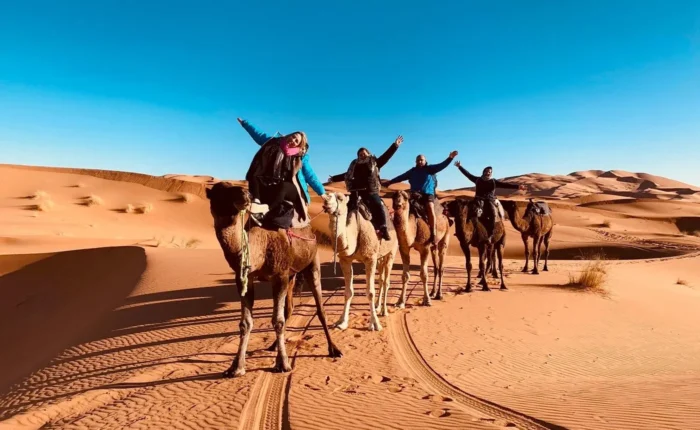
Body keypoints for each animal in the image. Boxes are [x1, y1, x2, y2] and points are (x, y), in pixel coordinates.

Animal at [206, 182, 342, 378]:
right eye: (219, 192)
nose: (245, 194)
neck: (259, 248)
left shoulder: (279, 276)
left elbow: (278, 321)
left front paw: (283, 364)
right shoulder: (245, 278)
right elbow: (246, 323)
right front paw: (236, 367)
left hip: (312, 264)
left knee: (320, 309)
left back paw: (333, 349)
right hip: (291, 276)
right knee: (290, 309)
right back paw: (273, 346)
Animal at [323, 193, 398, 331]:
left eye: (340, 198)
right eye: (325, 196)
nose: (326, 200)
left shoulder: (370, 258)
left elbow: (370, 292)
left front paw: (375, 324)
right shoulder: (345, 259)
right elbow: (348, 292)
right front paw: (341, 322)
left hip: (392, 252)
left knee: (386, 281)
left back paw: (384, 311)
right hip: (380, 258)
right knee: (381, 280)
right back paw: (377, 307)